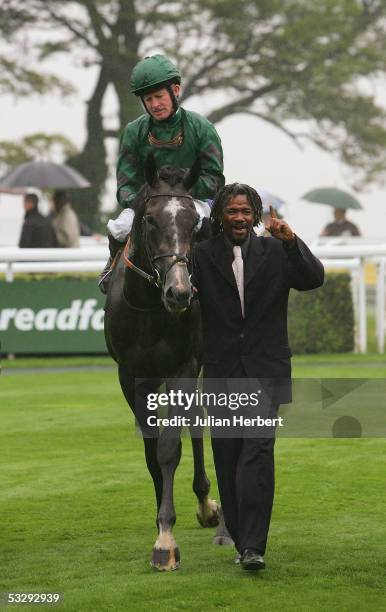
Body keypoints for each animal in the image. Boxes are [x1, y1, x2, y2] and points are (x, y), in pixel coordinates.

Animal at [105, 157, 220, 568]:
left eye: (194, 223)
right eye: (150, 219)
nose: (180, 292)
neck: (151, 311)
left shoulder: (183, 367)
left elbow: (170, 448)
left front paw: (166, 541)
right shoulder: (131, 376)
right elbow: (152, 452)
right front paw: (160, 521)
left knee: (199, 420)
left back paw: (206, 504)